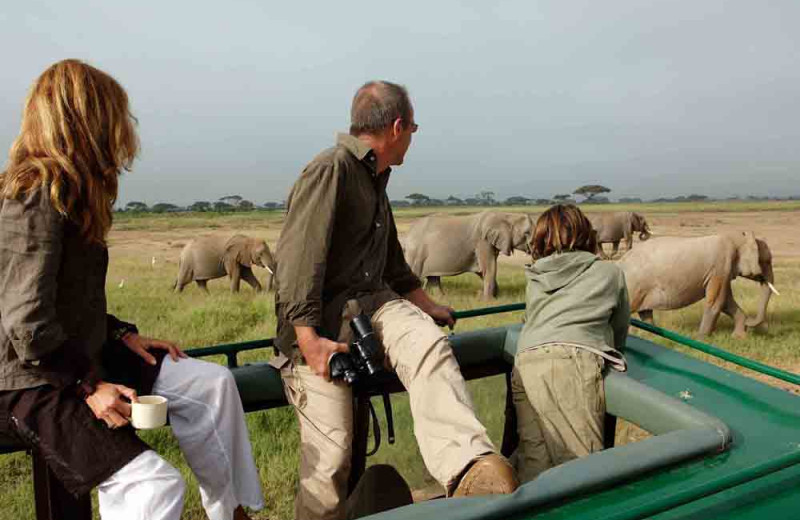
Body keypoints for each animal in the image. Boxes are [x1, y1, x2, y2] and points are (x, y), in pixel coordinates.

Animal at [404, 211, 536, 300]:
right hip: (415, 253)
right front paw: (489, 301)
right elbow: (489, 267)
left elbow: (484, 270)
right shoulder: (482, 241)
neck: (507, 216)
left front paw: (494, 297)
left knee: (433, 278)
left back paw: (442, 298)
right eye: (527, 233)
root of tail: (408, 234)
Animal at [620, 231, 780, 338]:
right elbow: (717, 302)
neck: (737, 237)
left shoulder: (722, 272)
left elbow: (727, 302)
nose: (751, 322)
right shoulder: (721, 266)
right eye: (767, 261)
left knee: (645, 312)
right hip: (632, 286)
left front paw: (738, 338)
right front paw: (701, 339)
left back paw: (652, 336)